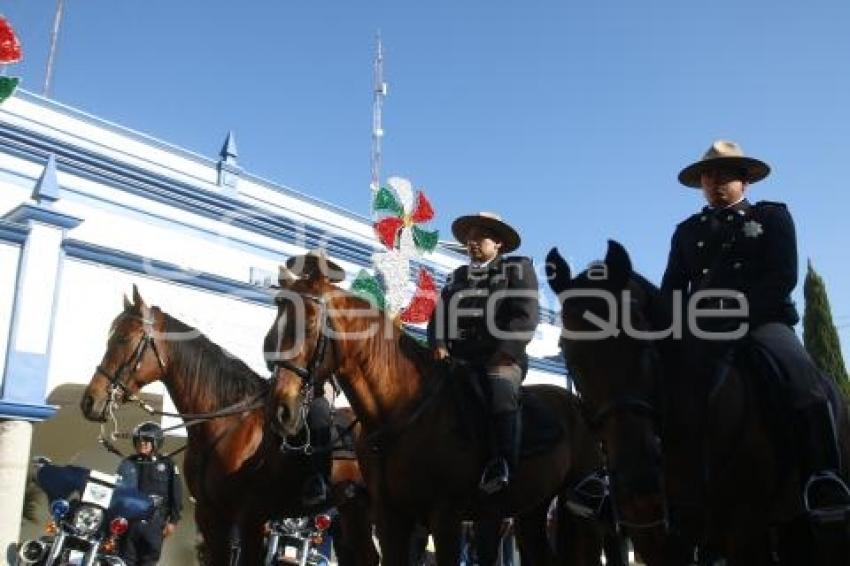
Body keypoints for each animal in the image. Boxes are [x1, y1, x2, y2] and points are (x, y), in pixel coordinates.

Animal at [79, 288, 378, 566]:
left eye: (123, 339)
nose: (90, 401)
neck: (227, 424)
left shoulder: (251, 519)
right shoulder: (211, 516)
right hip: (354, 512)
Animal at [264, 268, 616, 566]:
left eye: (310, 324)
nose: (281, 410)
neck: (400, 410)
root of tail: (578, 406)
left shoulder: (445, 517)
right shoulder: (390, 517)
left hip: (581, 512)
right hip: (530, 509)